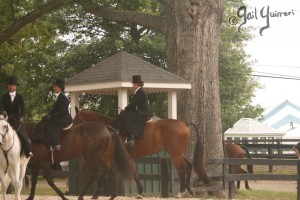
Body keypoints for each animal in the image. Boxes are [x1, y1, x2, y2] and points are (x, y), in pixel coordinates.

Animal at [72, 107, 211, 198]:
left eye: (76, 121)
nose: (72, 133)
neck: (110, 131)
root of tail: (184, 123)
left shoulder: (110, 158)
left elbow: (102, 174)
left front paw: (95, 195)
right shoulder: (128, 157)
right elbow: (135, 173)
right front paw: (140, 192)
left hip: (175, 153)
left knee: (181, 169)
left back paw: (181, 192)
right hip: (178, 153)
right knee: (188, 165)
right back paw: (189, 190)